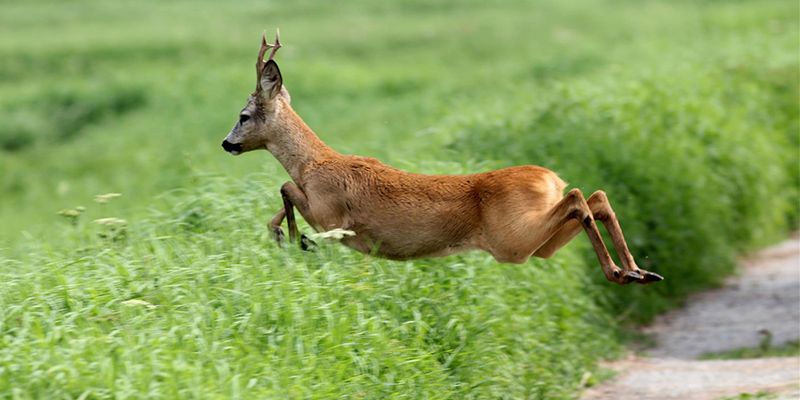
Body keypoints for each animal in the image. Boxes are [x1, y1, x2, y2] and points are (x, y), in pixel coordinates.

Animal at [220, 32, 664, 288]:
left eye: (243, 116)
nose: (226, 144)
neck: (314, 163)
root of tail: (549, 178)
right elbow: (278, 204)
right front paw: (286, 237)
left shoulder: (331, 213)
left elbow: (286, 189)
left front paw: (295, 239)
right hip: (537, 244)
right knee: (596, 197)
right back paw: (637, 271)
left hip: (512, 240)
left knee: (579, 198)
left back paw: (622, 271)